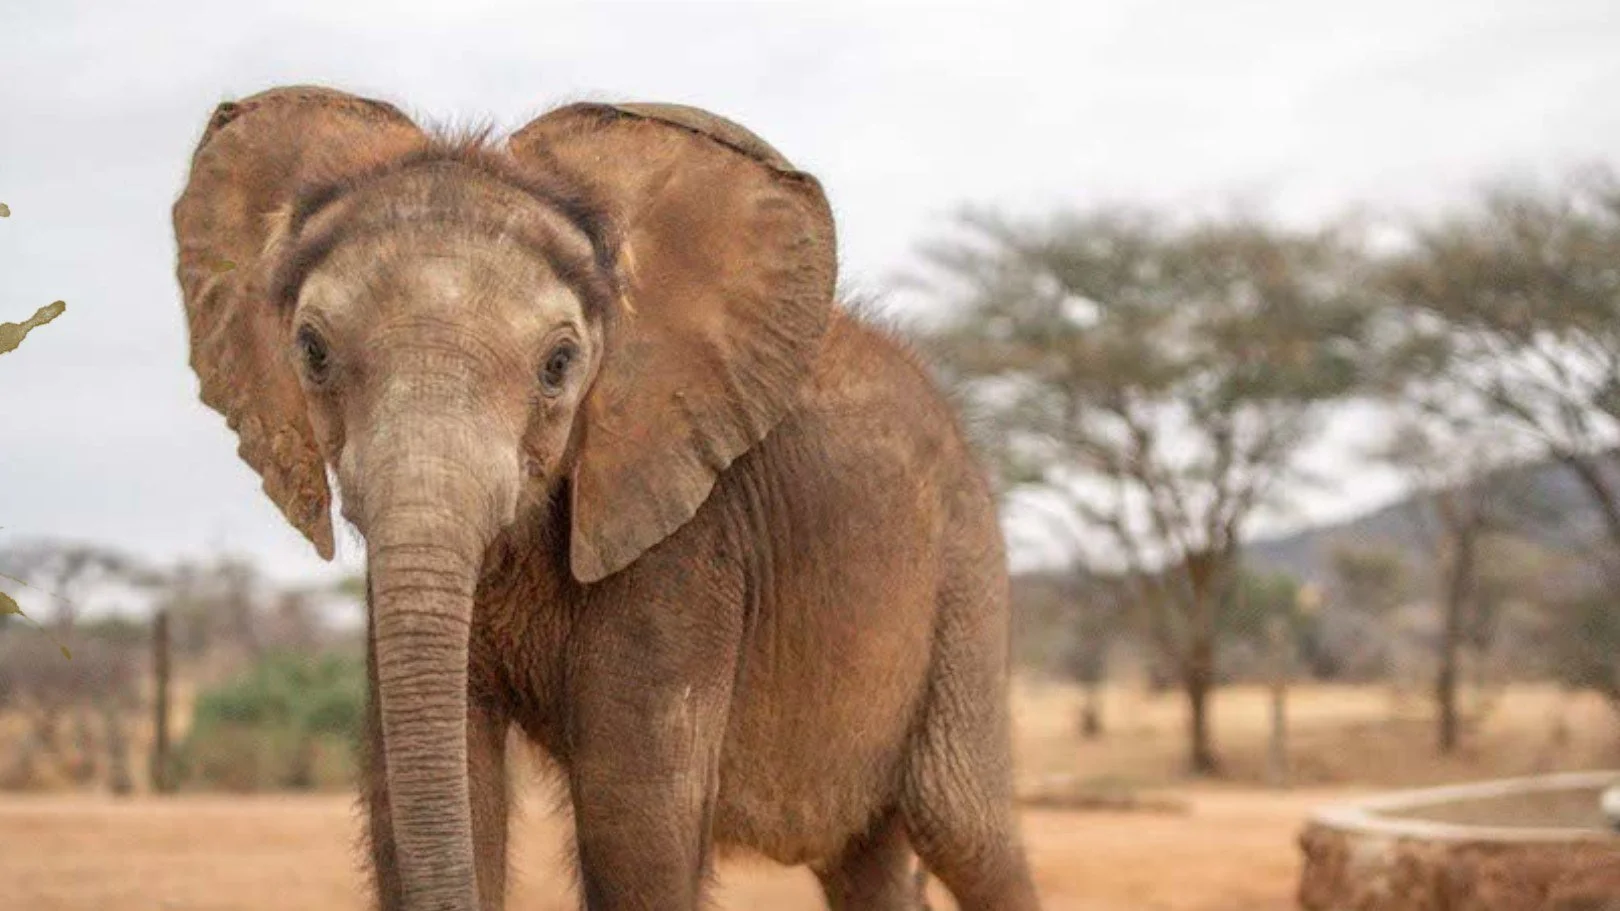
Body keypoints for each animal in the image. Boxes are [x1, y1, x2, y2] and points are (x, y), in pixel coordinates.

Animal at [171, 85, 1039, 911]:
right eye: (312, 351)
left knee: (966, 830)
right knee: (867, 862)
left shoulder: (687, 540)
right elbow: (434, 787)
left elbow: (637, 831)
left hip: (966, 570)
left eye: (560, 363)